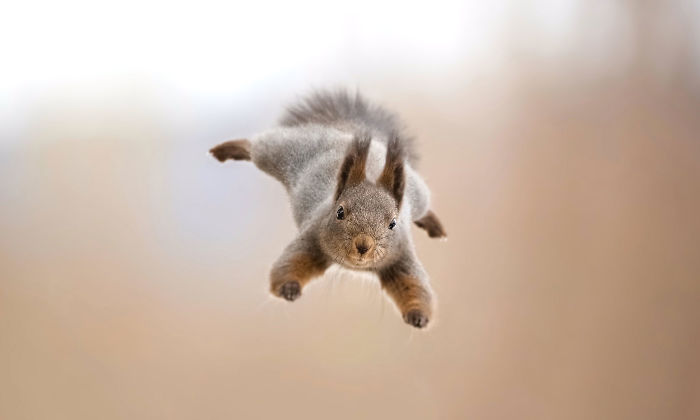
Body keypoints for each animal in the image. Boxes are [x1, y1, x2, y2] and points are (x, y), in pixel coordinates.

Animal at [210, 90, 446, 328]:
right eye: (339, 212)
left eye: (393, 223)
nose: (363, 245)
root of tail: (346, 131)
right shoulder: (312, 235)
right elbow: (289, 264)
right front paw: (288, 288)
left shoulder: (402, 254)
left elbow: (413, 283)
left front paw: (418, 315)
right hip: (288, 150)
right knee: (258, 146)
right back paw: (227, 149)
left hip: (418, 194)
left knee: (424, 209)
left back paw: (435, 225)